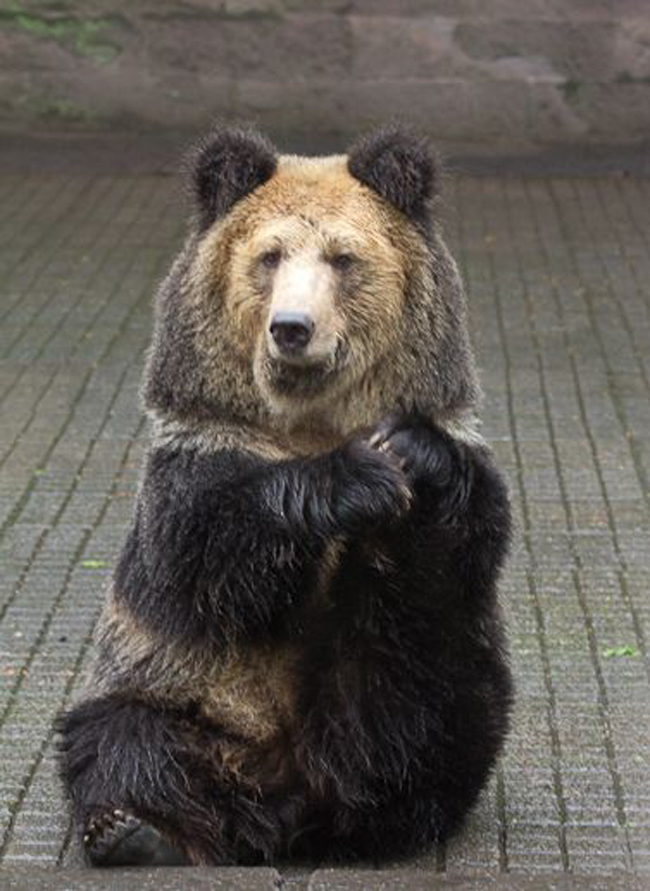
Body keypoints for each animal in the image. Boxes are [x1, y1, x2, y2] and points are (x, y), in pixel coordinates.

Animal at [57, 123, 513, 868]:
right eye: (269, 255)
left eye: (342, 257)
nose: (292, 327)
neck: (308, 419)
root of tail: (286, 804)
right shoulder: (204, 449)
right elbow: (211, 544)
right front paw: (359, 478)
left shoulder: (459, 447)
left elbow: (465, 537)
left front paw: (407, 454)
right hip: (180, 692)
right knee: (121, 735)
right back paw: (135, 826)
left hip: (439, 681)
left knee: (433, 710)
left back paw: (382, 812)